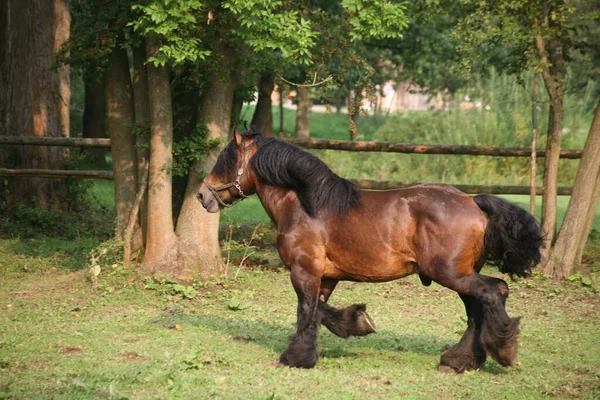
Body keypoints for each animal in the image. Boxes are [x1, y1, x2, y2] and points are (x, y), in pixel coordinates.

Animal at [198, 127, 544, 372]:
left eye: (226, 160)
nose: (203, 195)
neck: (305, 204)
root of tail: (473, 202)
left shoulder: (303, 272)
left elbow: (305, 311)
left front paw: (295, 357)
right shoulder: (326, 277)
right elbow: (319, 311)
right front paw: (358, 322)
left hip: (452, 273)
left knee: (494, 292)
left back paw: (502, 350)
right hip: (460, 275)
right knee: (476, 310)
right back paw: (459, 361)